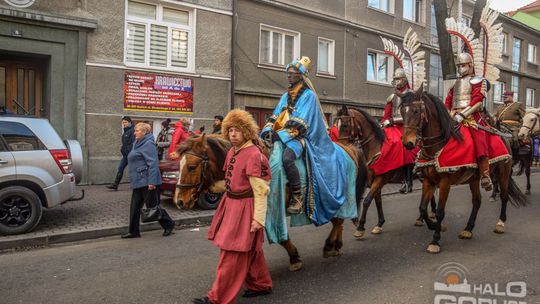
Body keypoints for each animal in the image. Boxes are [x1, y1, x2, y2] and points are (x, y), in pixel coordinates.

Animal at [175, 134, 370, 272]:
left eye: (191, 167)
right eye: (179, 165)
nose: (179, 201)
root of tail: (347, 147)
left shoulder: (271, 210)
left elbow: (281, 238)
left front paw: (294, 258)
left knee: (338, 220)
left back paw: (330, 245)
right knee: (339, 220)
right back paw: (335, 245)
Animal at [334, 105, 438, 239]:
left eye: (345, 125)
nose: (340, 147)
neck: (377, 146)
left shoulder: (381, 179)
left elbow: (367, 200)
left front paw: (360, 227)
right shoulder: (373, 180)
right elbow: (377, 201)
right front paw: (379, 224)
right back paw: (423, 217)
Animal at [398, 88, 528, 254]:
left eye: (415, 111)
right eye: (402, 111)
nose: (407, 143)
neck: (439, 145)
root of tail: (503, 137)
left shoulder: (445, 183)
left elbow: (440, 211)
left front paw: (435, 240)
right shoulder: (428, 181)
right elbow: (422, 208)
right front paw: (434, 226)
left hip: (503, 173)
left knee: (504, 196)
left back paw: (500, 224)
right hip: (474, 179)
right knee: (477, 201)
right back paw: (468, 229)